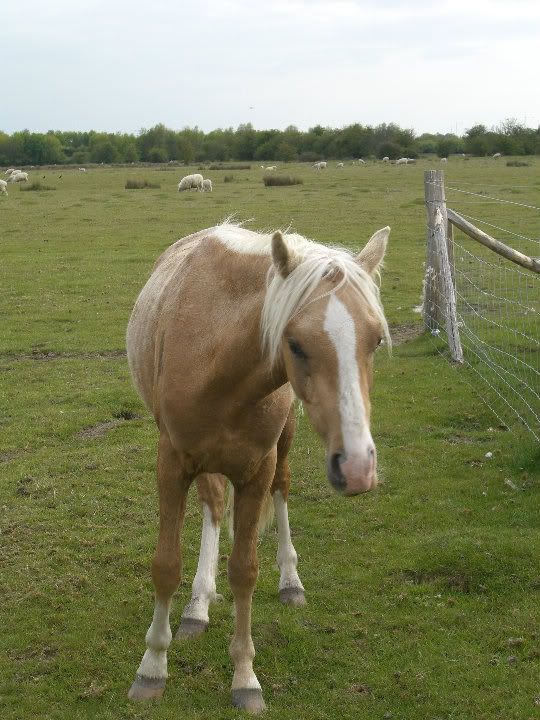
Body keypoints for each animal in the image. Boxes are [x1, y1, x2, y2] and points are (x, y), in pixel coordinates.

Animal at [125, 221, 388, 716]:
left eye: (377, 339)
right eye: (295, 343)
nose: (359, 466)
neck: (216, 356)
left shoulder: (256, 471)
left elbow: (245, 570)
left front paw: (245, 678)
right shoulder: (172, 463)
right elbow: (166, 565)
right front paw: (152, 668)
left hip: (282, 447)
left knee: (281, 490)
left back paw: (290, 582)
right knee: (212, 505)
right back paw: (197, 605)